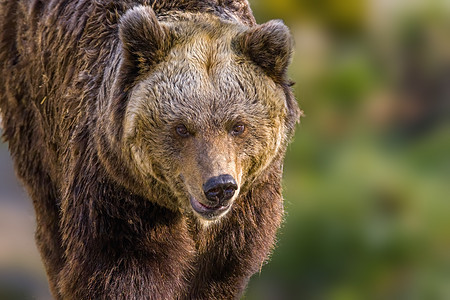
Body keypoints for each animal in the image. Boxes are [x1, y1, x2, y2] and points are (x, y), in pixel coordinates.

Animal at [1, 1, 300, 298]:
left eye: (238, 126)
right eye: (181, 127)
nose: (219, 187)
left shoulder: (244, 212)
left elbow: (216, 274)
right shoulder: (119, 192)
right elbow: (122, 268)